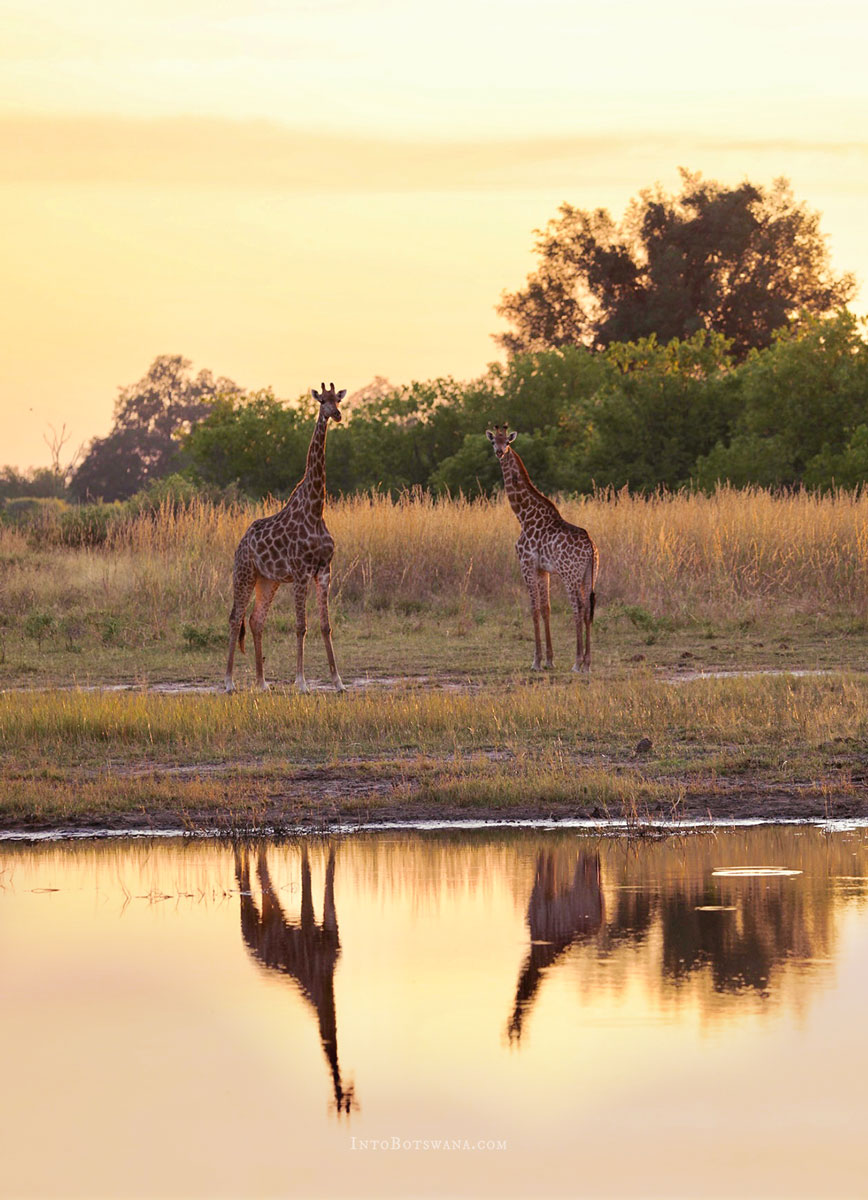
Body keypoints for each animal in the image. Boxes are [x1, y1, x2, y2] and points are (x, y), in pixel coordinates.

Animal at [225, 382, 345, 693]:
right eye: (322, 400)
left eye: (338, 400)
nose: (336, 414)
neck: (316, 508)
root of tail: (241, 544)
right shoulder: (302, 572)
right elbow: (300, 626)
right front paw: (301, 683)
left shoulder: (324, 570)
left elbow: (325, 626)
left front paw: (338, 682)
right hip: (244, 574)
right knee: (235, 618)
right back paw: (229, 683)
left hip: (268, 580)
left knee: (255, 620)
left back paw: (262, 683)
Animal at [235, 843, 356, 1115]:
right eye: (343, 1099)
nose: (349, 1086)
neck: (323, 980)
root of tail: (248, 948)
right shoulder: (309, 924)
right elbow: (307, 875)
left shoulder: (329, 927)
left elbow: (328, 874)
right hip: (253, 920)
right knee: (248, 881)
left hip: (271, 918)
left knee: (261, 877)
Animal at [486, 424, 599, 672]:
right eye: (493, 441)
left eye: (507, 442)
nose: (499, 452)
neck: (523, 515)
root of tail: (591, 549)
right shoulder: (542, 569)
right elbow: (546, 608)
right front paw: (549, 660)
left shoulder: (526, 564)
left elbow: (534, 609)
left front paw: (536, 661)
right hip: (590, 574)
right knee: (588, 608)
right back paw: (587, 663)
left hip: (570, 574)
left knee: (578, 607)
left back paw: (577, 662)